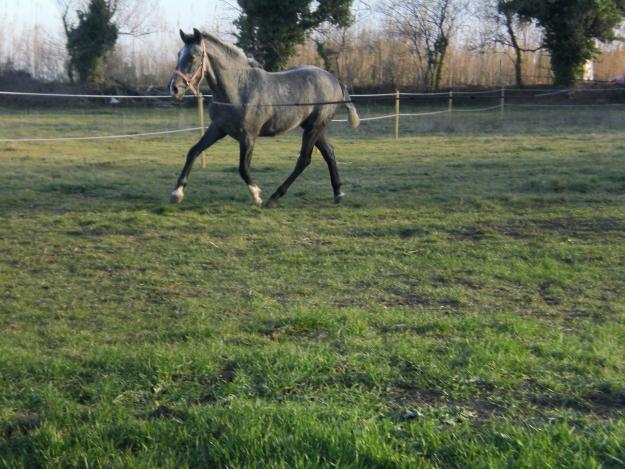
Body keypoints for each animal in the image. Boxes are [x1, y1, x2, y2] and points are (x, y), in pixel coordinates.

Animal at [168, 27, 358, 207]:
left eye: (193, 56)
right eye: (178, 54)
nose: (174, 88)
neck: (238, 89)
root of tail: (336, 81)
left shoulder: (248, 136)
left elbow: (243, 168)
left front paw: (256, 195)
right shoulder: (217, 129)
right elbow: (193, 151)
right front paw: (177, 193)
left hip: (314, 128)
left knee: (304, 160)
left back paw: (274, 197)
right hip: (314, 128)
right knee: (329, 153)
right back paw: (338, 193)